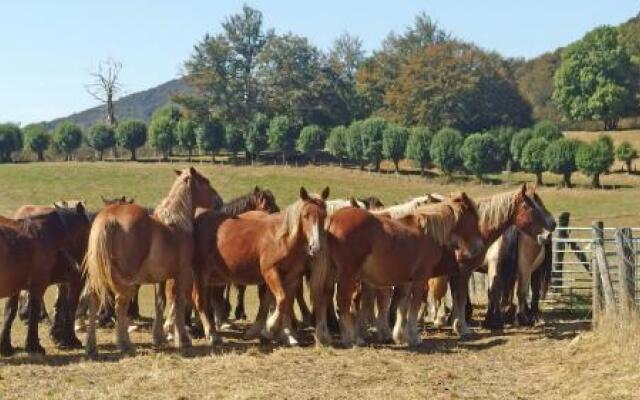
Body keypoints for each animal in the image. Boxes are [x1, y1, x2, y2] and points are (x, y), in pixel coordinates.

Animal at [0, 205, 91, 354]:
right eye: (89, 233)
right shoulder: (38, 285)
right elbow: (36, 312)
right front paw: (34, 346)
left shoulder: (15, 286)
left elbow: (10, 312)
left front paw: (6, 347)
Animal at [82, 166, 222, 356]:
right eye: (205, 181)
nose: (219, 201)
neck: (176, 224)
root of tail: (110, 217)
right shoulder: (182, 273)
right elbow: (178, 303)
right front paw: (183, 339)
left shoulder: (160, 279)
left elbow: (160, 303)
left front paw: (158, 337)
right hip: (125, 279)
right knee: (120, 304)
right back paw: (125, 344)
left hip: (100, 275)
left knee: (94, 300)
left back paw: (91, 346)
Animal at [190, 188, 330, 346]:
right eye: (305, 216)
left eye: (324, 215)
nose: (315, 247)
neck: (283, 239)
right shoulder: (270, 272)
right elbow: (281, 300)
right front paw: (268, 330)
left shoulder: (291, 278)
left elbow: (284, 304)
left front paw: (283, 334)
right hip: (201, 274)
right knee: (199, 300)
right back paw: (211, 333)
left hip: (215, 278)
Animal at [318, 194, 482, 346]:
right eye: (474, 218)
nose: (478, 248)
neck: (427, 233)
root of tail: (332, 219)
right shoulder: (420, 278)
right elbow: (414, 306)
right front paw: (414, 337)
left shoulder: (406, 281)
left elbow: (402, 306)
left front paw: (400, 336)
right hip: (348, 274)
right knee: (343, 302)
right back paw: (352, 339)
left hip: (331, 273)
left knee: (324, 297)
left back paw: (324, 337)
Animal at [428, 184, 556, 338]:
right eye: (537, 203)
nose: (552, 225)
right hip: (525, 268)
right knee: (522, 291)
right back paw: (521, 318)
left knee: (497, 290)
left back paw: (494, 321)